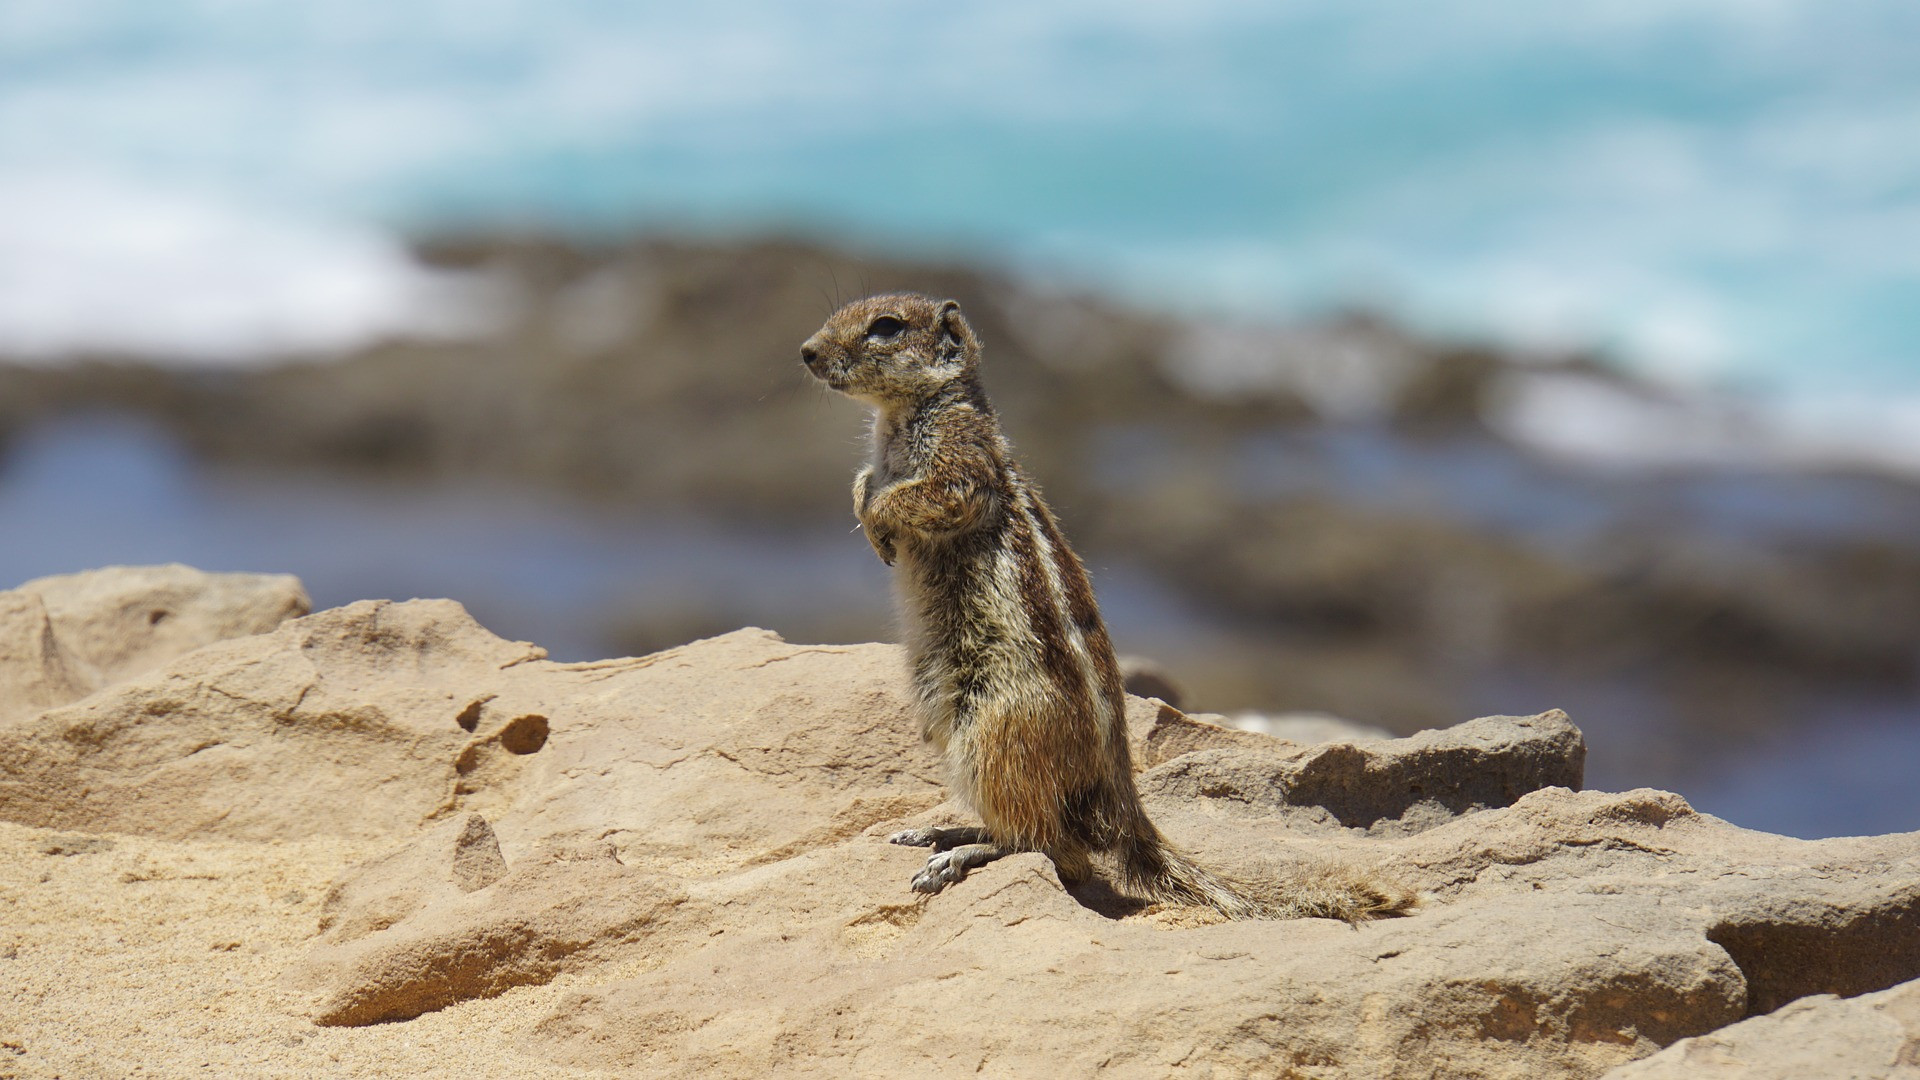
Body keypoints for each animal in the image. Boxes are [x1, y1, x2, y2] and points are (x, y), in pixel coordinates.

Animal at [794, 292, 1413, 914]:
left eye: (886, 326)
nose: (807, 352)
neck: (899, 418)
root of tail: (1118, 794)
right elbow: (864, 480)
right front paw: (867, 513)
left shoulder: (960, 465)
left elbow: (923, 495)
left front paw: (878, 521)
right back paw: (940, 829)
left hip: (993, 734)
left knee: (1056, 848)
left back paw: (960, 852)